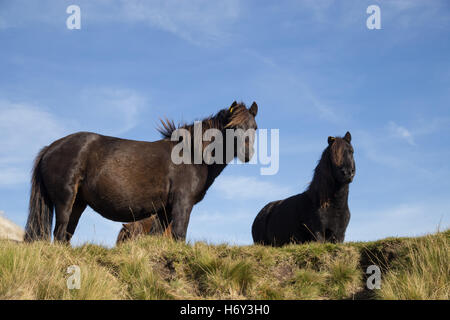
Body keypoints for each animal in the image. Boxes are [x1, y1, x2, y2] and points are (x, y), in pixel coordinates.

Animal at [24, 102, 258, 242]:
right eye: (232, 127)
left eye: (254, 127)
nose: (247, 153)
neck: (192, 153)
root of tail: (50, 148)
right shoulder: (182, 204)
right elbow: (179, 235)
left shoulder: (165, 210)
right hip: (65, 200)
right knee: (59, 233)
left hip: (78, 203)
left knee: (65, 235)